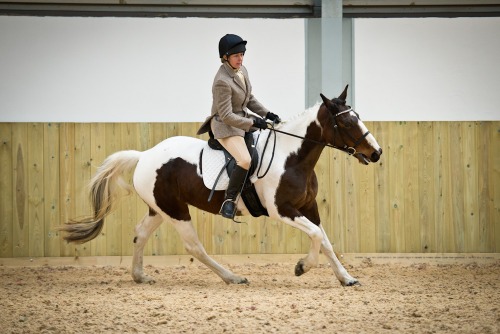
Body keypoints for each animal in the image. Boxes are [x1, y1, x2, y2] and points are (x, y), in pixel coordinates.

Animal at [62, 86, 382, 288]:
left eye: (357, 117)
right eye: (346, 123)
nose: (376, 153)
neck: (292, 157)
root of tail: (144, 155)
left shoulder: (308, 207)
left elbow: (325, 240)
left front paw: (346, 278)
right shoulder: (283, 210)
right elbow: (316, 235)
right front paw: (302, 267)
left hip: (160, 208)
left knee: (140, 234)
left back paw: (140, 276)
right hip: (176, 211)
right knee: (194, 246)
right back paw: (233, 278)